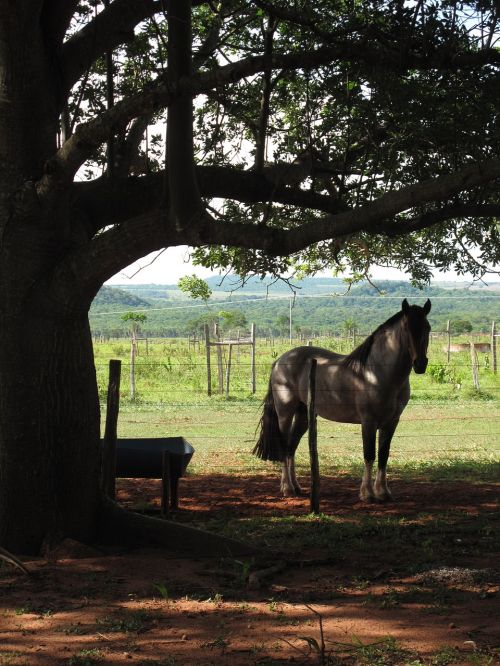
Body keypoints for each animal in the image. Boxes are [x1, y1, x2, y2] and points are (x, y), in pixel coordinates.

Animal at [252, 300, 432, 498]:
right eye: (407, 328)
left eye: (428, 328)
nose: (420, 364)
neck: (376, 372)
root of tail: (280, 361)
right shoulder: (368, 421)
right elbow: (369, 454)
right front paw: (367, 494)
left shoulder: (392, 422)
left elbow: (383, 455)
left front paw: (383, 492)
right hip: (285, 413)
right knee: (284, 446)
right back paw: (287, 488)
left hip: (303, 415)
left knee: (291, 448)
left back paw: (297, 488)